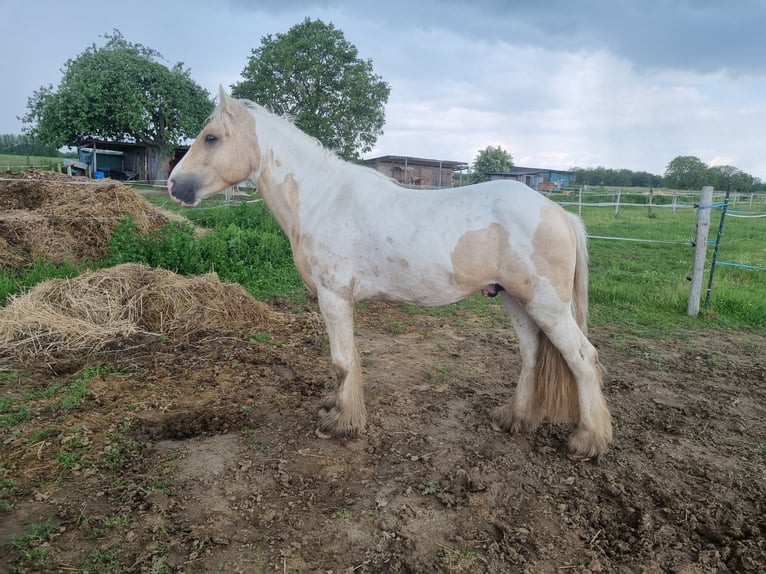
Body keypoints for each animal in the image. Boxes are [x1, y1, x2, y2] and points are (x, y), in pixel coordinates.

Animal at [171, 88, 616, 462]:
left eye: (211, 137)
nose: (176, 186)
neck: (322, 199)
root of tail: (557, 212)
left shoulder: (333, 297)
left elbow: (341, 362)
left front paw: (341, 423)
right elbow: (347, 361)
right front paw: (337, 408)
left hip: (546, 305)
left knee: (582, 358)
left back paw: (588, 440)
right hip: (514, 298)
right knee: (531, 355)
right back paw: (514, 418)